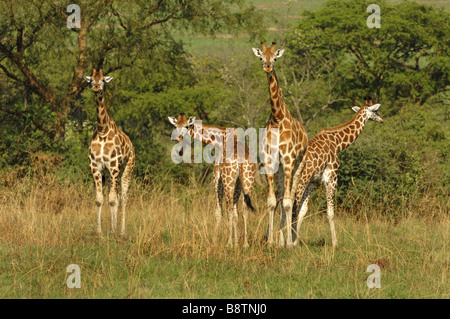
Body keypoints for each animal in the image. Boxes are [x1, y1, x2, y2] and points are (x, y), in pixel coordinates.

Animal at [83, 69, 134, 238]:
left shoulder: (114, 165)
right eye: (91, 80)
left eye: (104, 80)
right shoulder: (96, 167)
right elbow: (100, 199)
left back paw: (122, 232)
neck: (102, 130)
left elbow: (112, 199)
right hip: (110, 174)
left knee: (123, 197)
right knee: (117, 196)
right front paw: (99, 232)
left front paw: (113, 231)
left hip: (126, 169)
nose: (96, 88)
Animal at [168, 114, 256, 248]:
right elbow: (237, 212)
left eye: (187, 126)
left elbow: (218, 211)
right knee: (244, 208)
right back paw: (245, 244)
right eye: (175, 126)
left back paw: (228, 243)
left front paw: (215, 241)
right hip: (247, 180)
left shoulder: (216, 177)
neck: (221, 139)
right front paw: (237, 243)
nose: (178, 138)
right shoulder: (238, 183)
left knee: (229, 208)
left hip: (228, 180)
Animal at [251, 42, 308, 248]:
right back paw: (280, 239)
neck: (277, 117)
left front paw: (289, 243)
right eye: (261, 57)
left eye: (275, 58)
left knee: (292, 197)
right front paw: (271, 242)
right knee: (282, 195)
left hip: (298, 165)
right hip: (280, 170)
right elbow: (271, 201)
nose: (268, 67)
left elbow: (288, 202)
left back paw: (290, 240)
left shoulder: (289, 160)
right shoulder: (269, 161)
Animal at [292, 100, 384, 250]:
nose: (381, 119)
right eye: (375, 111)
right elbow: (330, 213)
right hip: (299, 181)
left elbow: (303, 211)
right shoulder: (331, 178)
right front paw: (335, 244)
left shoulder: (313, 182)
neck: (337, 144)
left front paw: (296, 242)